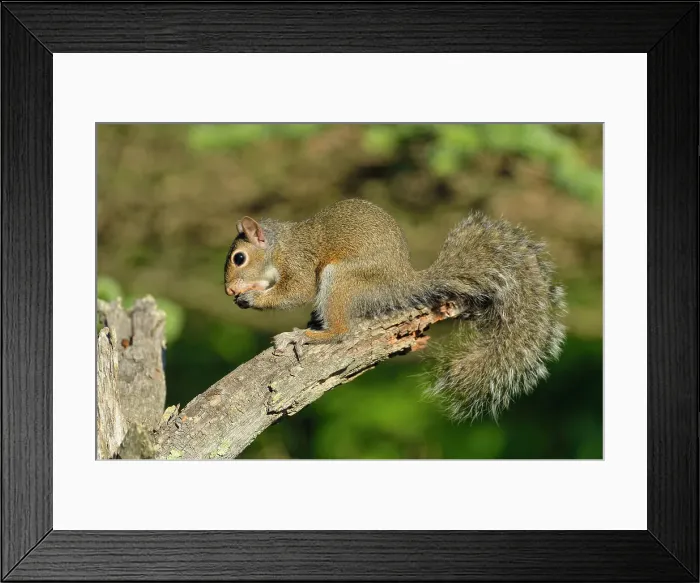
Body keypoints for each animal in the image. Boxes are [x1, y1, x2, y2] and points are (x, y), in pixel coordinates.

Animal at [224, 198, 566, 421]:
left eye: (239, 258)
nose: (229, 291)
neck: (278, 246)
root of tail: (400, 283)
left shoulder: (298, 261)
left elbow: (299, 290)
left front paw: (253, 298)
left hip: (343, 279)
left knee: (341, 332)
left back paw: (304, 336)